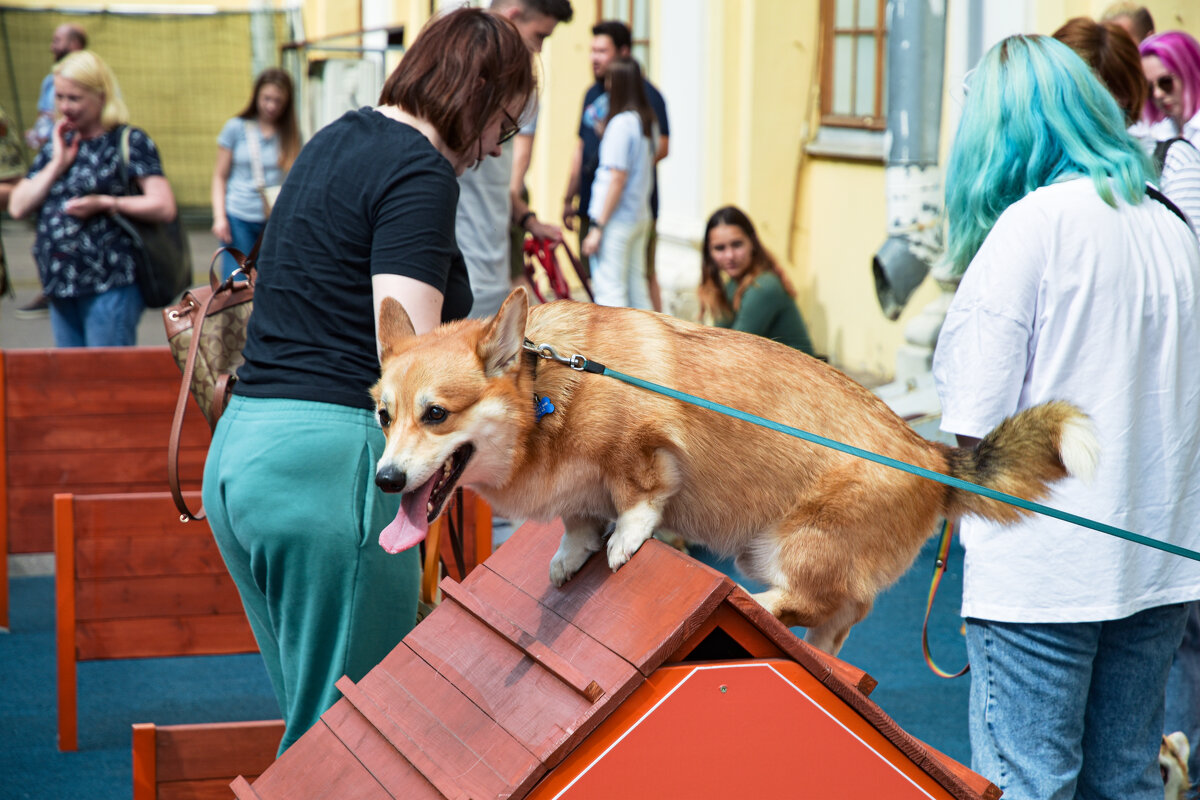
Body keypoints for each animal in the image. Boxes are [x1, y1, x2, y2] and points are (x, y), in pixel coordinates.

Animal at [369, 291, 1094, 652]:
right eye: (384, 415)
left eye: (436, 414)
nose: (385, 480)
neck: (544, 393)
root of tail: (937, 458)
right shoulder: (575, 492)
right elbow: (578, 521)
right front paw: (570, 555)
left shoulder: (643, 443)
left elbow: (639, 494)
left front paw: (625, 540)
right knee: (835, 623)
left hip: (789, 545)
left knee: (817, 601)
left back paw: (755, 604)